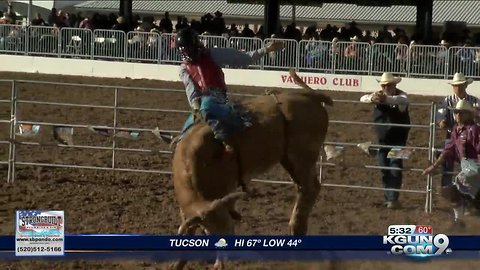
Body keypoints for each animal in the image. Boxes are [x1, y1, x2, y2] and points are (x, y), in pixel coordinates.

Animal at [163, 70, 332, 270]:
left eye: (229, 228)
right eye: (210, 232)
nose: (222, 264)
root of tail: (312, 96)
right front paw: (177, 264)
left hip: (302, 156)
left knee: (310, 188)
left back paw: (296, 229)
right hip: (289, 159)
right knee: (304, 188)